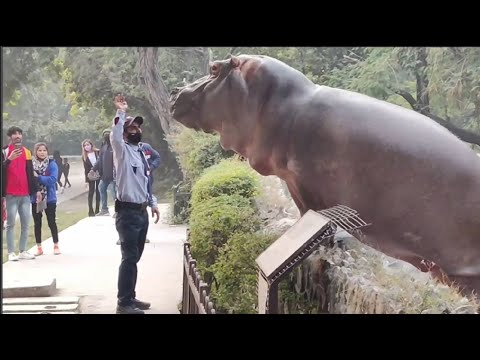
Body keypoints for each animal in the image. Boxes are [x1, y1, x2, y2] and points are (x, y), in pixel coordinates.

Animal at [170, 54, 480, 298]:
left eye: (213, 68)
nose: (174, 91)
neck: (279, 101)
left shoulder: (304, 182)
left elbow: (312, 213)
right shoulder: (292, 179)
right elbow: (304, 212)